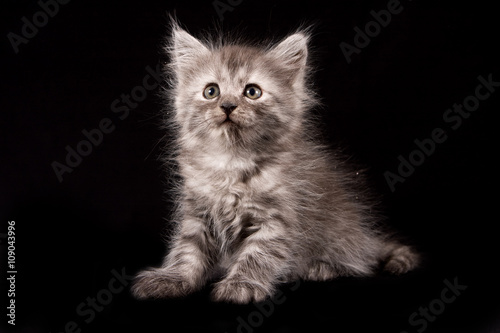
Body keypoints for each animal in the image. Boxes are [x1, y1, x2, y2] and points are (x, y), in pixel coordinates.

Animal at [131, 21, 420, 304]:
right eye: (211, 91)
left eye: (252, 92)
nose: (227, 106)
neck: (231, 161)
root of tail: (367, 236)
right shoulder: (197, 214)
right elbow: (188, 251)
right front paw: (173, 278)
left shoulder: (277, 219)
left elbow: (257, 255)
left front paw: (242, 284)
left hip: (343, 235)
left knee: (359, 259)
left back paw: (321, 267)